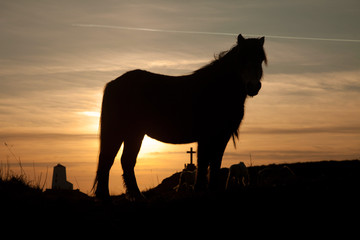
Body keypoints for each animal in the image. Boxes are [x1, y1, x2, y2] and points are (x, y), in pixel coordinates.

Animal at [93, 33, 268, 201]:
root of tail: (113, 84)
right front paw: (200, 190)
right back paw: (109, 196)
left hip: (133, 133)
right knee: (111, 160)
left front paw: (212, 190)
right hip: (122, 132)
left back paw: (133, 195)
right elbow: (203, 162)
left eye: (260, 59)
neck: (216, 88)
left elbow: (215, 162)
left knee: (124, 161)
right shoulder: (207, 136)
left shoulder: (221, 136)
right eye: (242, 57)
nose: (253, 86)